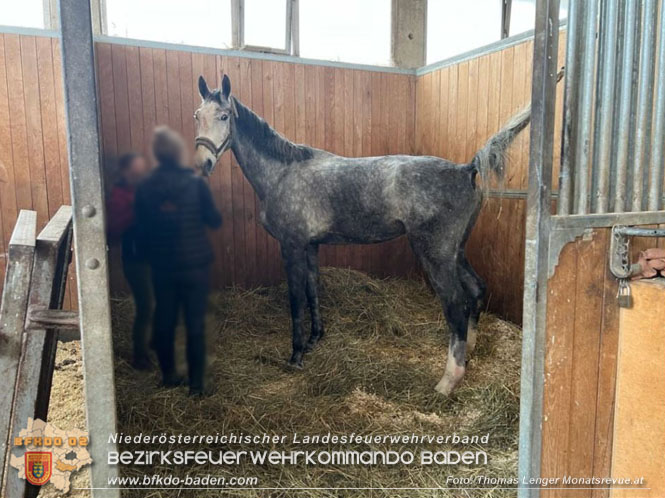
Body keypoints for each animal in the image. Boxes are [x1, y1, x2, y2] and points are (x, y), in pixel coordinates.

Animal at [192, 74, 528, 394]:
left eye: (223, 116)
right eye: (197, 115)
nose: (202, 164)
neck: (283, 173)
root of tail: (465, 169)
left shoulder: (292, 246)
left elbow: (296, 299)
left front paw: (296, 355)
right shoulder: (311, 246)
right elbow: (313, 290)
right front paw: (315, 339)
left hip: (436, 254)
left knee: (456, 304)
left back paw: (448, 381)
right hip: (456, 252)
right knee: (476, 289)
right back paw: (468, 351)